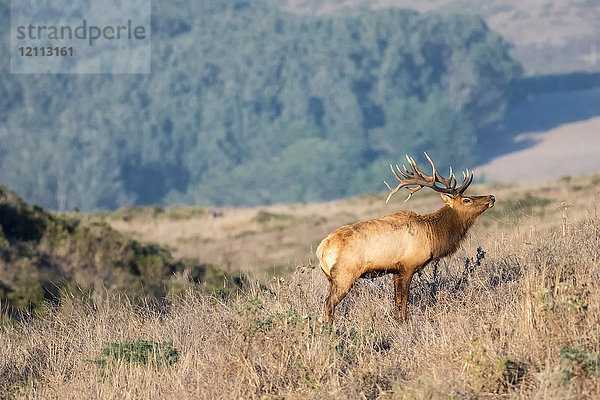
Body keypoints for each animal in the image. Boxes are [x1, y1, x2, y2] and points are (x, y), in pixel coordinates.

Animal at [316, 153, 494, 322]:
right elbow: (405, 298)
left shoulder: (396, 269)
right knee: (328, 303)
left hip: (331, 278)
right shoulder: (409, 265)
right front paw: (404, 322)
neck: (434, 235)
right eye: (467, 199)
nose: (491, 197)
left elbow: (396, 299)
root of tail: (321, 250)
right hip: (344, 275)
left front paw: (396, 321)